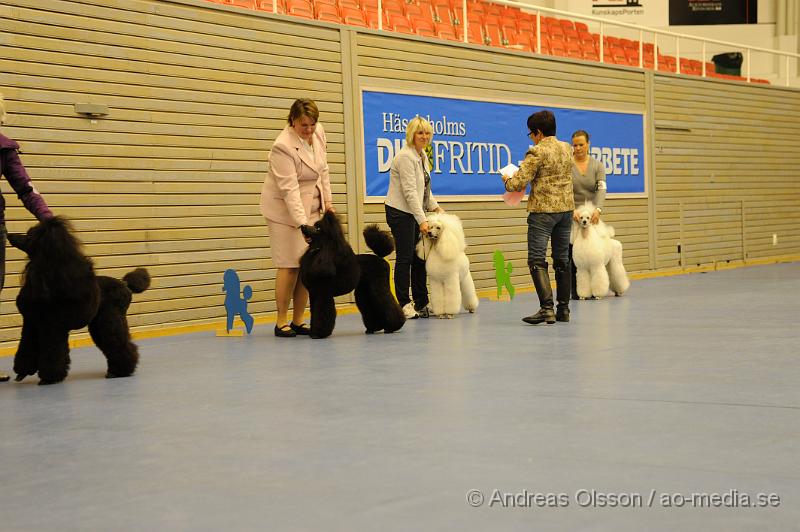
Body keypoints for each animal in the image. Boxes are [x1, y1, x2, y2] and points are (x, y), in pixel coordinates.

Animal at [9, 216, 150, 386]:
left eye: (30, 236)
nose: (10, 235)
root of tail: (125, 284)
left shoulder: (52, 327)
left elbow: (53, 352)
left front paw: (49, 378)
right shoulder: (31, 323)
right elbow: (26, 347)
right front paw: (22, 372)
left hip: (110, 318)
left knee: (119, 343)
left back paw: (119, 371)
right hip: (97, 324)